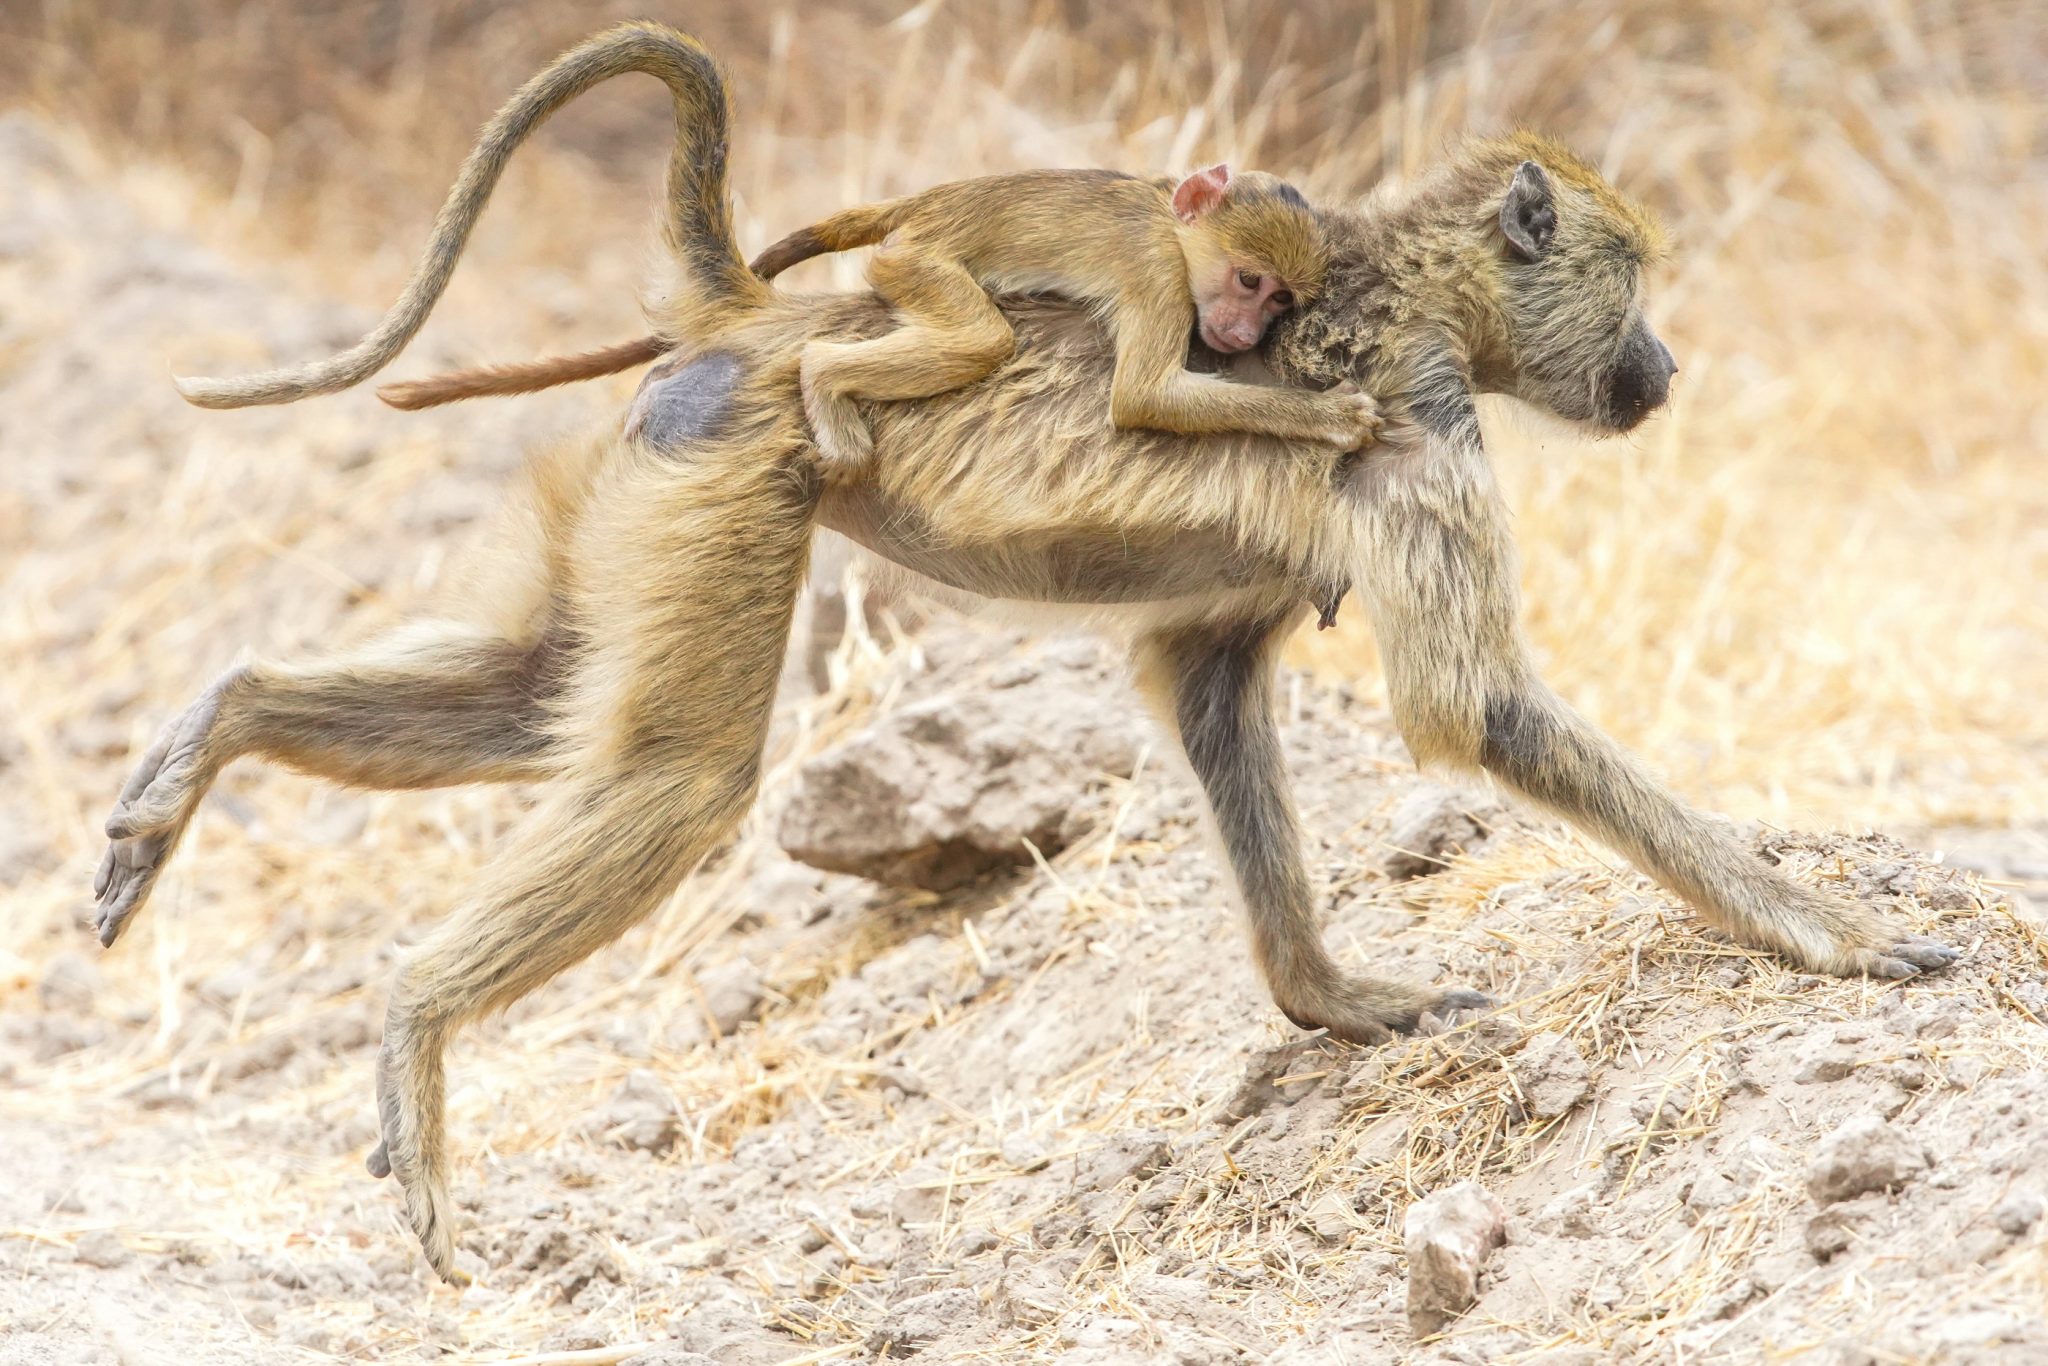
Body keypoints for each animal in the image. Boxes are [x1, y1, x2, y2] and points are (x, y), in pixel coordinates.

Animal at [110, 24, 1960, 1283]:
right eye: (1633, 279)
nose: (1664, 369)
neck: (1415, 283)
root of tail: (757, 322)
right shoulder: (1423, 419)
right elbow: (1474, 707)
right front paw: (1837, 933)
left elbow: (1205, 687)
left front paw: (1331, 1000)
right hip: (740, 466)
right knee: (684, 775)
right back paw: (418, 1019)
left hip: (655, 467)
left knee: (532, 687)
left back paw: (201, 746)